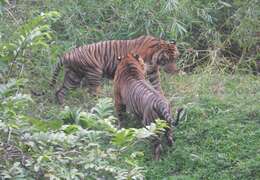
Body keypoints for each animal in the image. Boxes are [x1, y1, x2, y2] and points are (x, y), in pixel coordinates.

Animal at [49, 35, 180, 104]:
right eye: (167, 59)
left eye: (175, 58)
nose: (174, 70)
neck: (153, 58)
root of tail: (68, 54)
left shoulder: (153, 72)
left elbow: (157, 85)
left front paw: (161, 96)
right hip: (94, 72)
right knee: (92, 92)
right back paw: (99, 103)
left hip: (73, 76)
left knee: (61, 91)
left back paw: (62, 106)